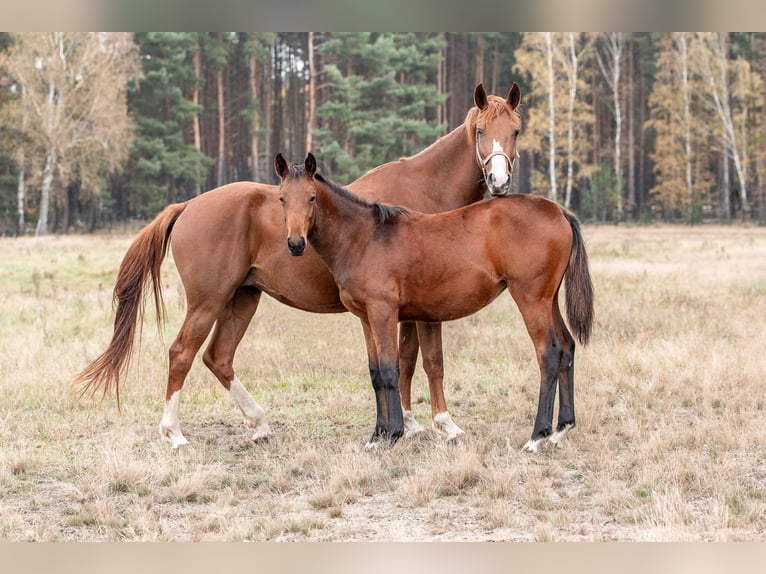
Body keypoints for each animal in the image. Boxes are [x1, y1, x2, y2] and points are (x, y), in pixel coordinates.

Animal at [75, 83, 524, 450]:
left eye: (516, 130)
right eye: (481, 131)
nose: (500, 182)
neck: (423, 192)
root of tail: (188, 205)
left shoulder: (403, 307)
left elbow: (407, 360)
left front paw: (410, 424)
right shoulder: (419, 308)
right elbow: (427, 361)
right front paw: (443, 426)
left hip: (242, 299)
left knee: (218, 358)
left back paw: (259, 424)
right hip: (208, 301)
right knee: (182, 353)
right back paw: (174, 433)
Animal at [274, 154, 592, 454]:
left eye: (311, 196)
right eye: (282, 198)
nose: (295, 244)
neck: (364, 237)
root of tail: (559, 211)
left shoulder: (383, 313)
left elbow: (390, 368)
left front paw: (393, 434)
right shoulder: (365, 317)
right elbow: (376, 372)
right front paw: (377, 436)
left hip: (531, 299)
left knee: (548, 354)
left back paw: (537, 437)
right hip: (548, 300)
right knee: (566, 348)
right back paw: (561, 430)